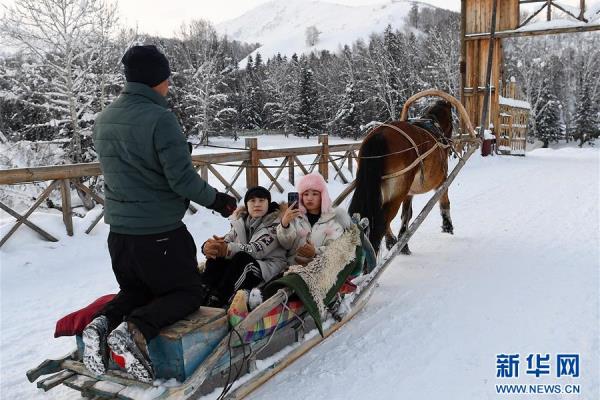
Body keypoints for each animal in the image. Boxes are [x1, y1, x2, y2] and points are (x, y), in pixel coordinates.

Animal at [350, 99, 452, 253]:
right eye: (452, 118)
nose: (449, 143)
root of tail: (380, 135)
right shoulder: (442, 180)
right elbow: (444, 200)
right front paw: (447, 226)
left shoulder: (409, 192)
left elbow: (406, 214)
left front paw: (403, 242)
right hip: (397, 192)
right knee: (381, 223)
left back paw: (391, 241)